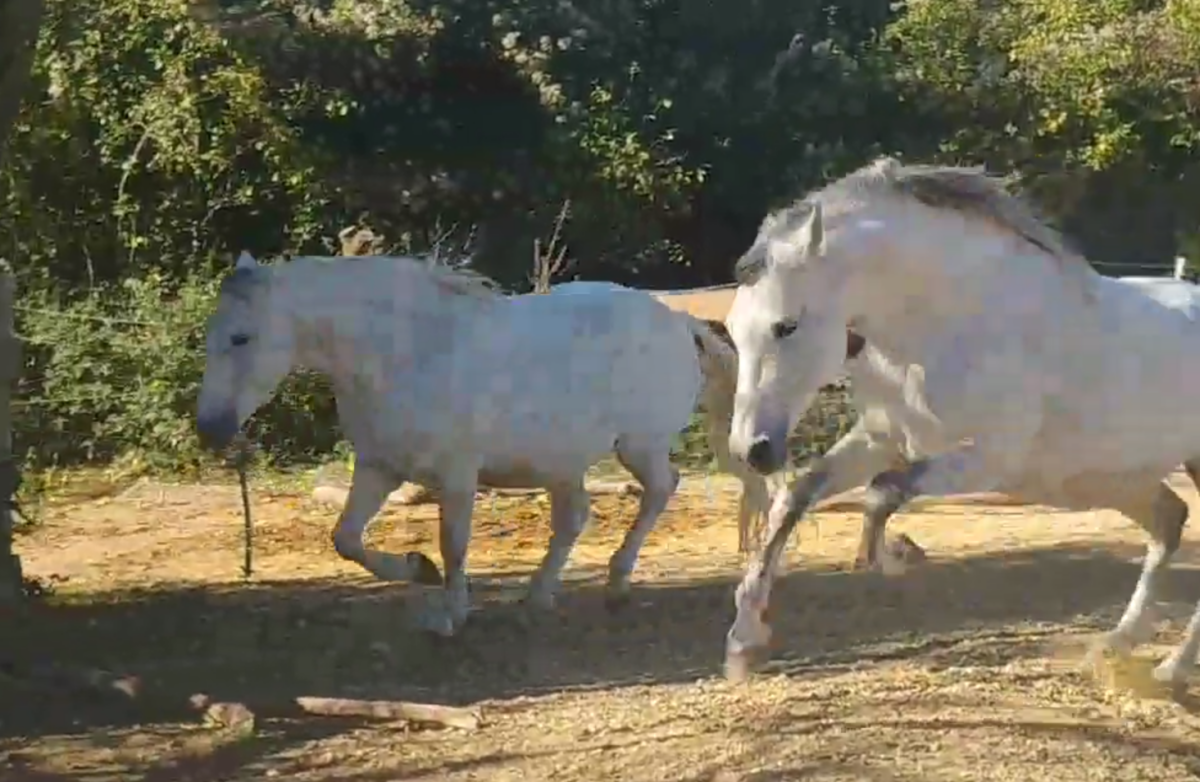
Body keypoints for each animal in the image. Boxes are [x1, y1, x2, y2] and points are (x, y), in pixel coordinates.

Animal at [199, 250, 748, 633]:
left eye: (242, 338)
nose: (211, 428)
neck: (405, 354)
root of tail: (679, 322)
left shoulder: (457, 476)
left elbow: (454, 543)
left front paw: (449, 614)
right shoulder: (378, 468)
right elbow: (346, 539)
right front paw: (417, 569)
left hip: (639, 446)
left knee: (660, 490)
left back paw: (616, 582)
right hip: (561, 462)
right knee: (575, 518)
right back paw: (538, 595)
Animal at [720, 155, 1200, 686]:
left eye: (786, 326)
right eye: (734, 330)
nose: (753, 451)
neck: (953, 325)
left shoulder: (988, 461)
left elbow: (882, 493)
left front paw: (897, 556)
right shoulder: (882, 437)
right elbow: (795, 499)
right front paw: (743, 645)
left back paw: (1172, 668)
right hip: (1109, 480)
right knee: (1170, 519)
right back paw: (1116, 644)